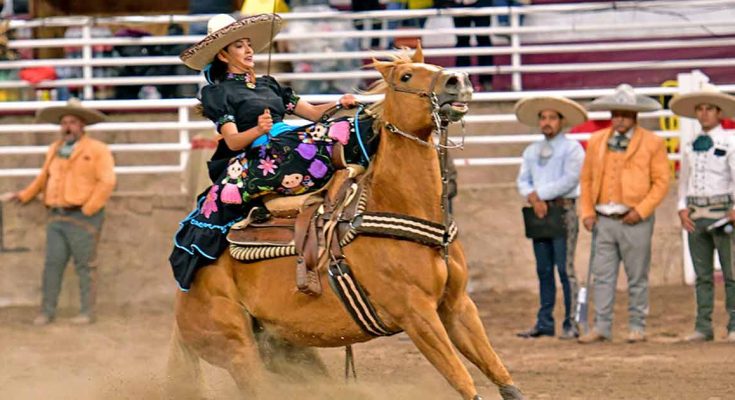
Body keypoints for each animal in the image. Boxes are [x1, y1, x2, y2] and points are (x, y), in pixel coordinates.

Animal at [168, 47, 524, 400]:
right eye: (406, 76)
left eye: (436, 65)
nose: (458, 80)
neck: (395, 204)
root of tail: (184, 295)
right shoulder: (417, 316)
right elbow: (463, 381)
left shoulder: (458, 307)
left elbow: (502, 376)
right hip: (240, 352)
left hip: (286, 350)